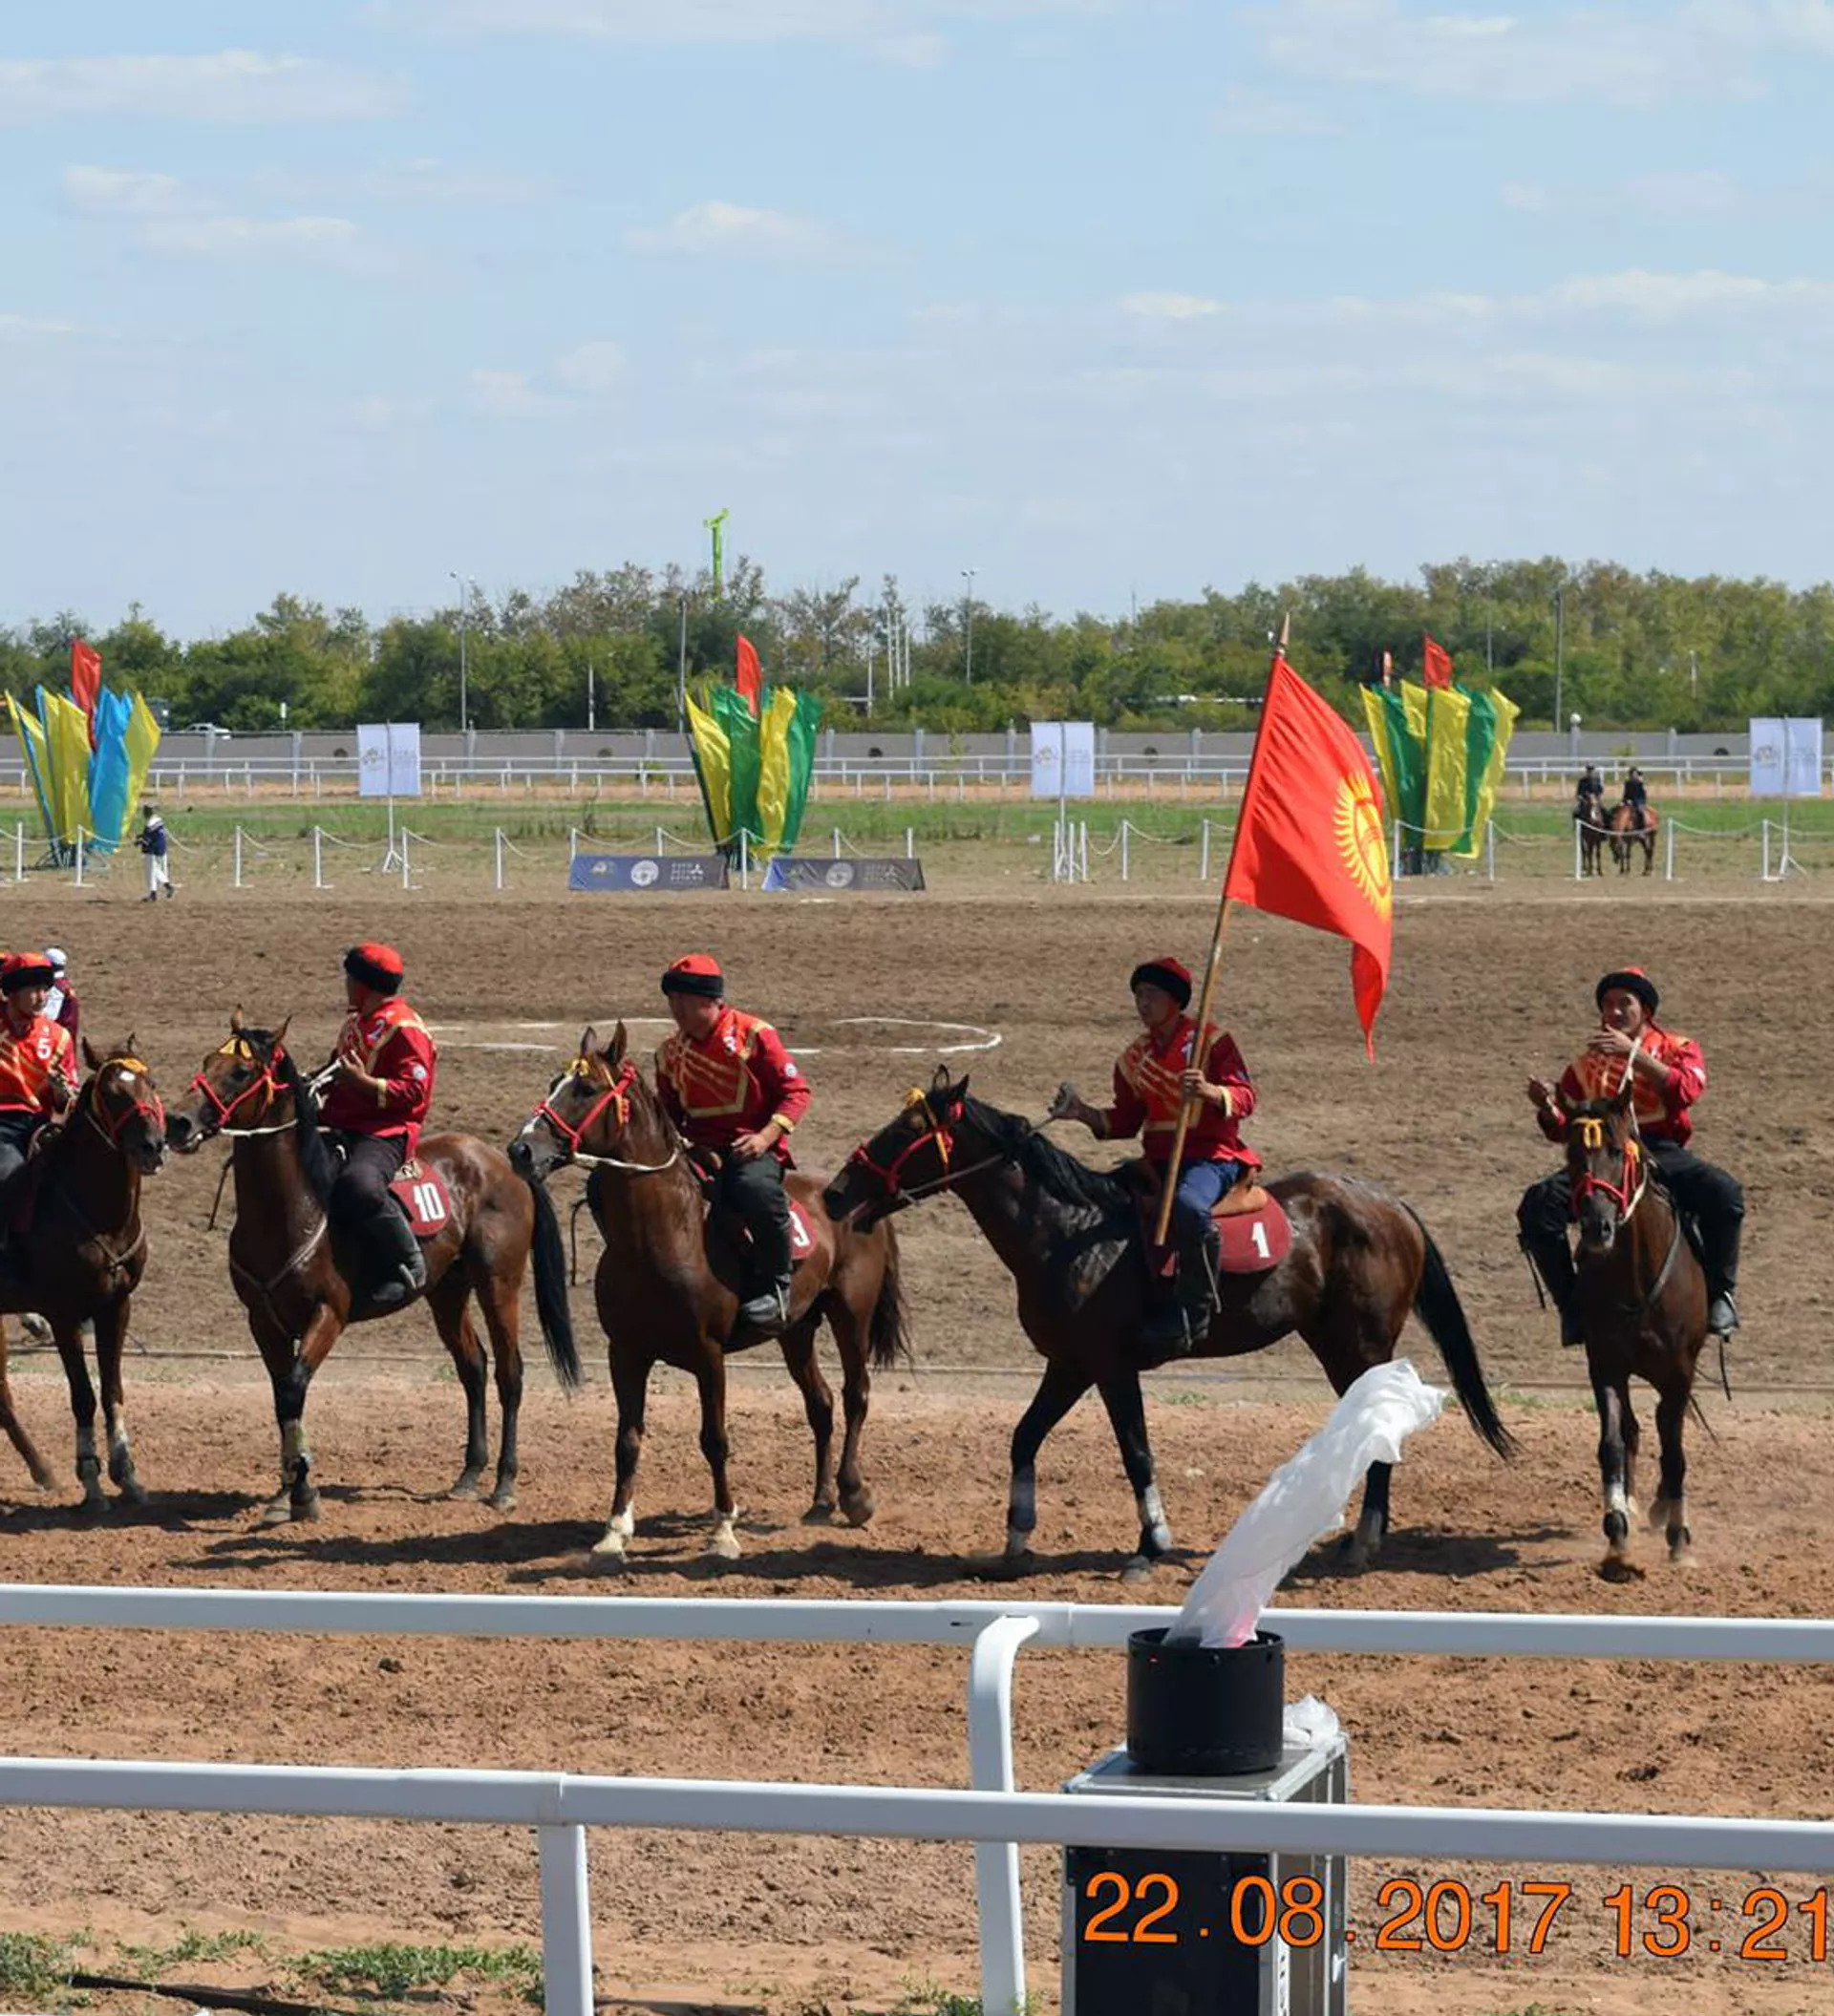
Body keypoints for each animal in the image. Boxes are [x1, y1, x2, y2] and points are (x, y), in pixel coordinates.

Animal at [0, 1041, 166, 1508]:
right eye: (111, 1094)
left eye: (151, 1083)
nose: (152, 1146)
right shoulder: (62, 1314)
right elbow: (83, 1396)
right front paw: (91, 1479)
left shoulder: (116, 1306)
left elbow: (112, 1391)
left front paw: (127, 1474)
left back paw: (42, 1470)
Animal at [165, 1012, 580, 1524]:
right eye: (207, 1060)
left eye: (241, 1072)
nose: (177, 1121)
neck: (294, 1207)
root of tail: (502, 1163)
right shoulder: (263, 1321)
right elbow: (282, 1398)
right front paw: (285, 1493)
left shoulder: (329, 1314)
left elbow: (295, 1388)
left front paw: (304, 1492)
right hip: (447, 1291)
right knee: (473, 1367)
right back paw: (468, 1475)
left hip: (498, 1283)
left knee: (510, 1372)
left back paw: (503, 1484)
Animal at [508, 1023, 908, 1562]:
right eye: (555, 1082)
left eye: (586, 1089)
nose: (522, 1150)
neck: (666, 1236)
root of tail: (856, 1199)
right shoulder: (625, 1353)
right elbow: (627, 1439)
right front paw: (615, 1530)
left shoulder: (708, 1355)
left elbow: (714, 1439)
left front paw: (723, 1529)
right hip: (796, 1329)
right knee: (821, 1404)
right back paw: (821, 1501)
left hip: (851, 1317)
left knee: (855, 1396)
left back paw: (854, 1494)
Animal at [823, 1072, 1514, 1579]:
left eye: (907, 1130)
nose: (833, 1193)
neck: (1070, 1229)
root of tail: (1388, 1203)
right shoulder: (1068, 1363)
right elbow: (1024, 1436)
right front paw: (1016, 1536)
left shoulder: (1110, 1366)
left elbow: (1136, 1452)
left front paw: (1151, 1542)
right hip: (1334, 1342)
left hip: (1359, 1343)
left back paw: (1364, 1540)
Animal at [1562, 1084, 1706, 1577]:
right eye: (1572, 1153)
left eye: (1613, 1150)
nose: (1596, 1226)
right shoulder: (1605, 1365)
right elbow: (1612, 1443)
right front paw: (1617, 1532)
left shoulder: (1679, 1374)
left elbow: (1676, 1454)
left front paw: (1680, 1538)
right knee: (1634, 1430)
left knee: (1665, 1433)